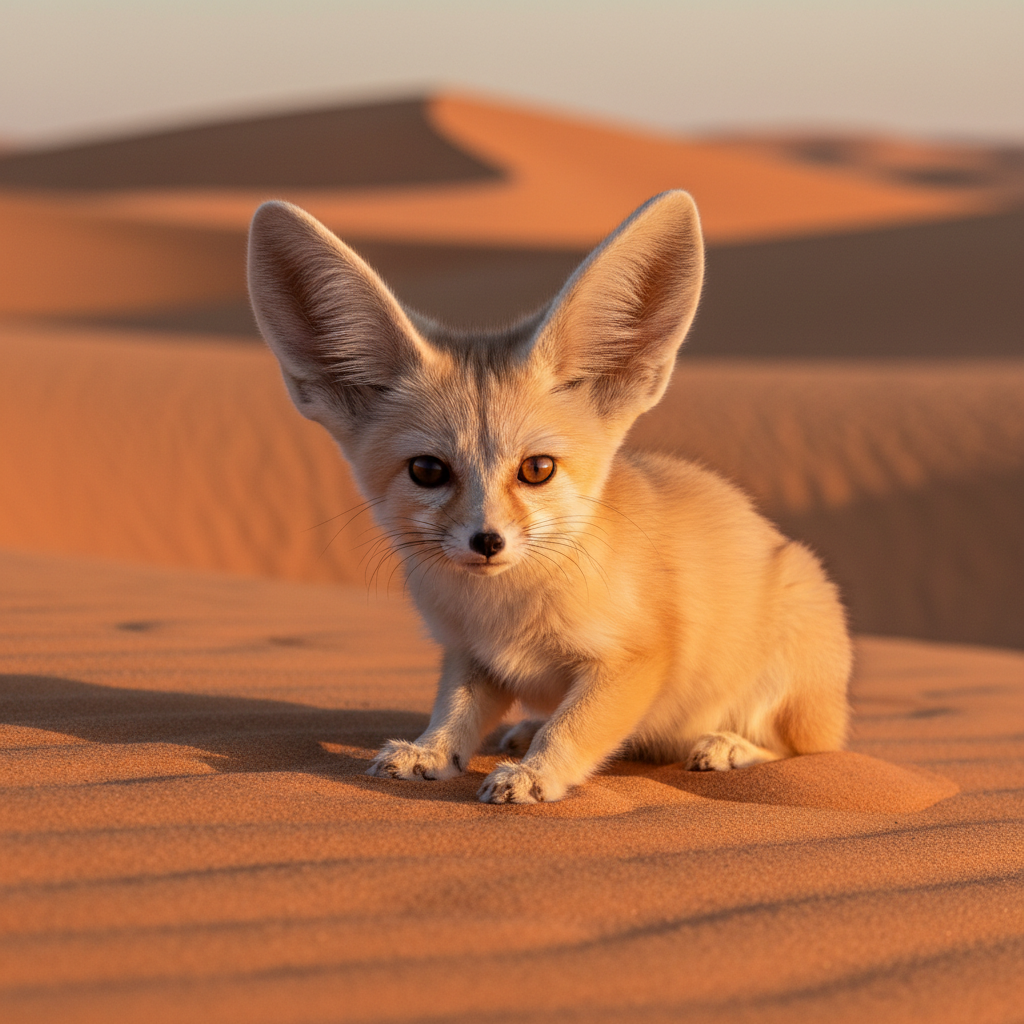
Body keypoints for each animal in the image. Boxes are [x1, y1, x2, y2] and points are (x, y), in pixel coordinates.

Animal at [247, 190, 851, 804]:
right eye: (427, 471)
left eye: (536, 469)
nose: (487, 541)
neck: (505, 612)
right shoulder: (471, 655)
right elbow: (455, 713)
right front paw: (432, 753)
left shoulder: (636, 658)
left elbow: (574, 725)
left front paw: (537, 773)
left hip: (792, 639)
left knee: (808, 747)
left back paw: (729, 746)